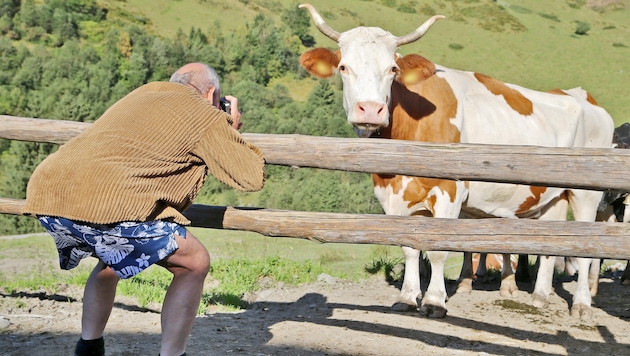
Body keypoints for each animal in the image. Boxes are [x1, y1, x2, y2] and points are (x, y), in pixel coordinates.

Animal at [300, 3, 616, 320]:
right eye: (343, 67)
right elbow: (409, 248)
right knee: (549, 247)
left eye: (392, 69)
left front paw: (434, 301)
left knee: (585, 250)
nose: (370, 109)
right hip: (553, 197)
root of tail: (582, 96)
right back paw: (539, 296)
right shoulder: (393, 196)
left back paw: (582, 303)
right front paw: (407, 297)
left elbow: (439, 250)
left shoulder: (449, 191)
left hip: (587, 195)